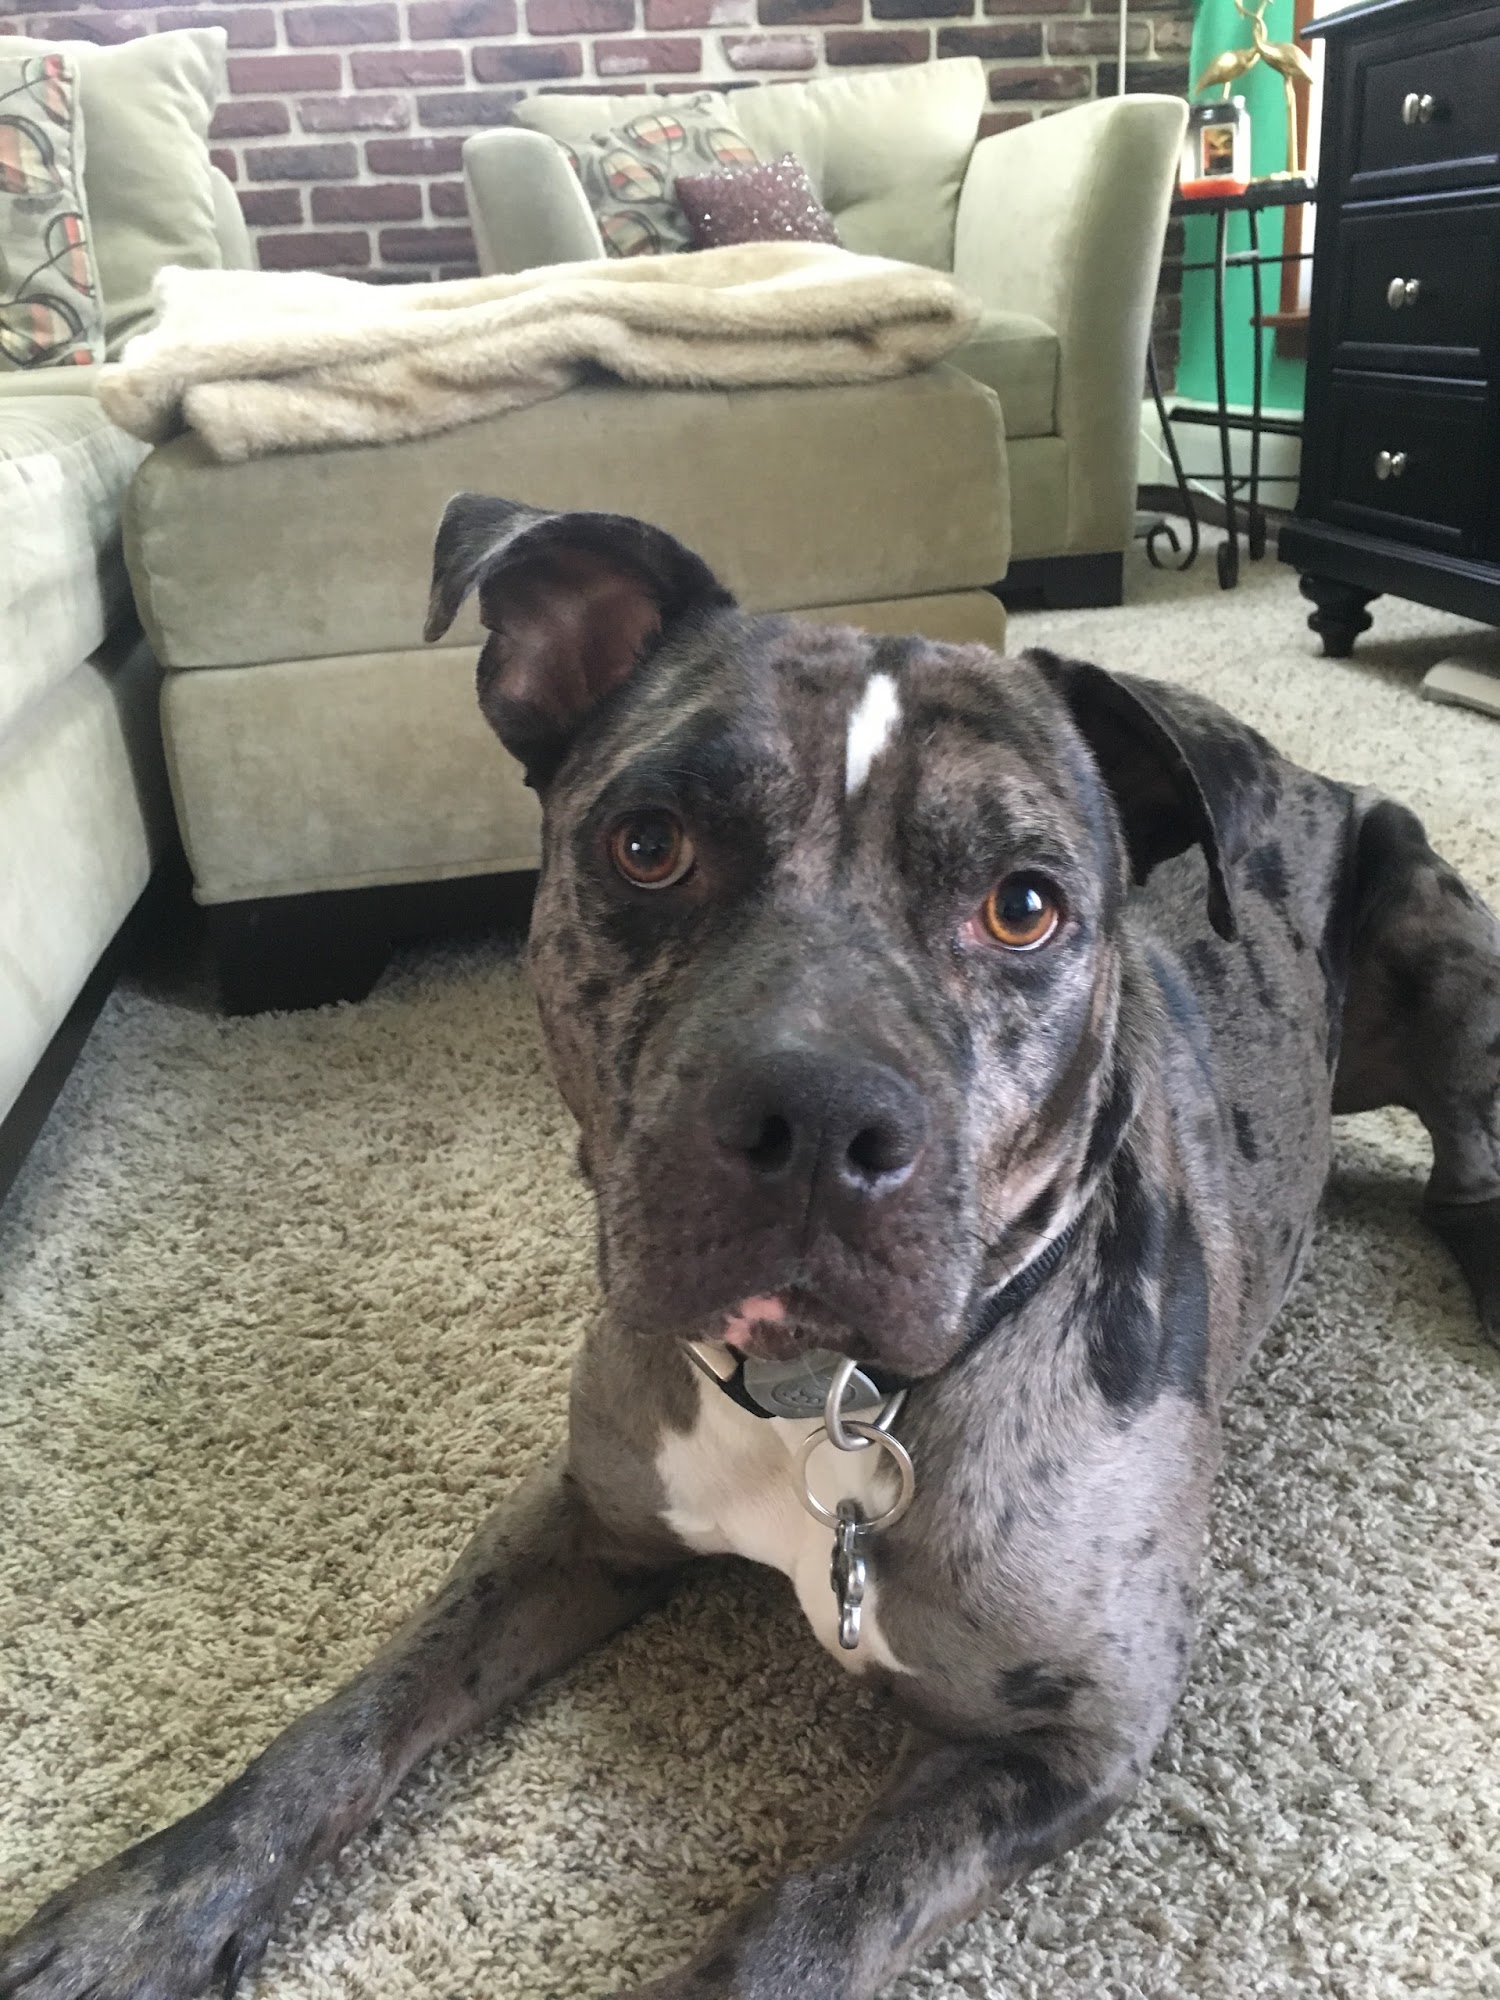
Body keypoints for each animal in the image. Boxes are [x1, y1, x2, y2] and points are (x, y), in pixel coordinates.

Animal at [3, 496, 1497, 2000]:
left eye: (1024, 905)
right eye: (648, 845)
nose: (820, 1116)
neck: (822, 1400)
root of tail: (1310, 774)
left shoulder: (1076, 1739)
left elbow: (810, 1918)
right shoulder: (579, 1520)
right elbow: (351, 1719)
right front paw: (140, 1914)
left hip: (1443, 933)